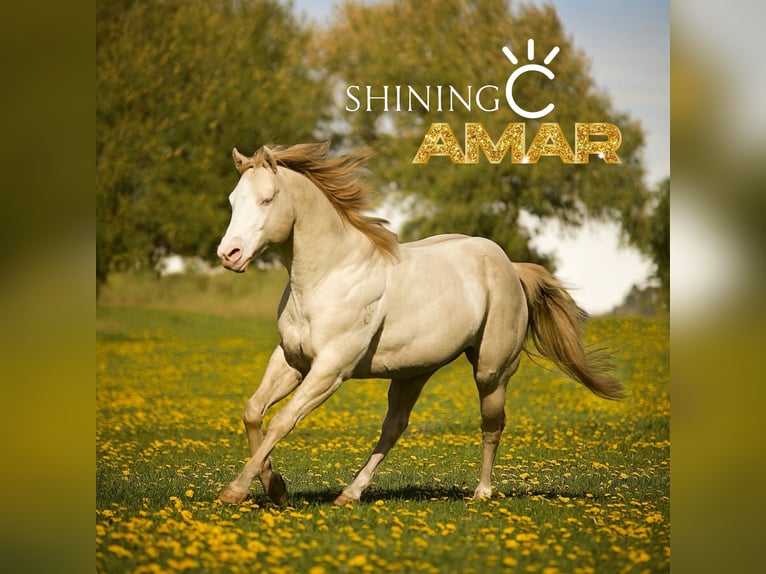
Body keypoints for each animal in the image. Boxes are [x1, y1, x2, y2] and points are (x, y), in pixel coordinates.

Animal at [215, 142, 624, 506]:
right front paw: (275, 487)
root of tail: (510, 266)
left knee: (492, 424)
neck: (329, 275)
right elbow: (253, 411)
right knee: (394, 426)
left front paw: (235, 491)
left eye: (267, 199)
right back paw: (350, 494)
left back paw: (482, 492)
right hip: (413, 371)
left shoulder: (330, 369)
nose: (228, 254)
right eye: (233, 200)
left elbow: (282, 421)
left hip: (491, 372)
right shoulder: (291, 360)